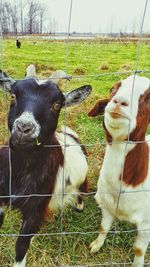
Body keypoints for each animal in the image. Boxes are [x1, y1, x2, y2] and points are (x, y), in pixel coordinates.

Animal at [0, 65, 91, 267]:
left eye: (57, 105)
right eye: (13, 96)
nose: (24, 128)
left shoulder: (35, 209)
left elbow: (21, 248)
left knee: (83, 186)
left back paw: (80, 206)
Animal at [88, 75, 150, 267]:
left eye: (149, 97)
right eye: (112, 89)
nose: (119, 101)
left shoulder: (147, 223)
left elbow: (138, 249)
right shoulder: (107, 206)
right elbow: (103, 227)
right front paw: (95, 246)